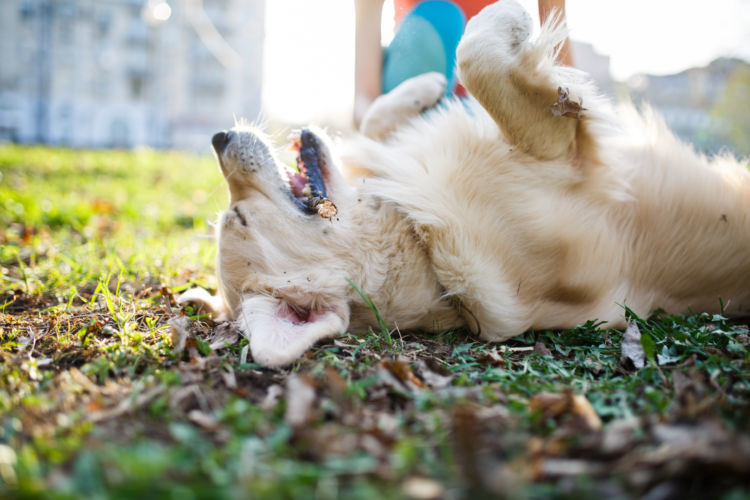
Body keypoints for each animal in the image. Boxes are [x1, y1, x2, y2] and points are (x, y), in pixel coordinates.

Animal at [181, 0, 750, 368]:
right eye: (240, 218)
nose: (218, 136)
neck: (418, 240)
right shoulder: (561, 152)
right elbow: (478, 56)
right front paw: (512, 21)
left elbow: (378, 121)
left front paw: (420, 90)